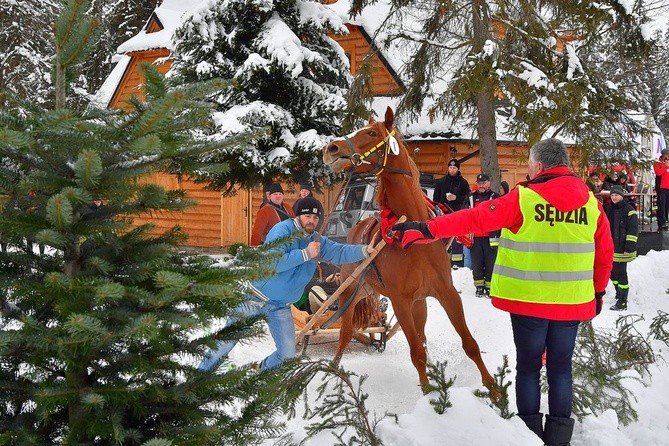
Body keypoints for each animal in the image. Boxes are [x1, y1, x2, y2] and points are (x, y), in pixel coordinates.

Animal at [324, 106, 496, 392]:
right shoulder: (400, 300)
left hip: (412, 299)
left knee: (422, 335)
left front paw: (494, 389)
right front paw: (427, 394)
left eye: (371, 133)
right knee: (345, 332)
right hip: (352, 289)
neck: (413, 231)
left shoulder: (446, 293)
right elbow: (417, 353)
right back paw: (334, 368)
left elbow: (469, 344)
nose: (332, 148)